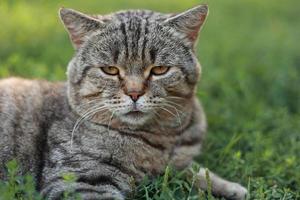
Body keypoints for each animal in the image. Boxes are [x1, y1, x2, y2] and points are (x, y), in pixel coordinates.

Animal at [0, 4, 247, 200]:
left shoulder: (177, 164)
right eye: (110, 70)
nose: (134, 93)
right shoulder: (80, 181)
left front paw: (230, 187)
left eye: (159, 69)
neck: (159, 140)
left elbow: (197, 171)